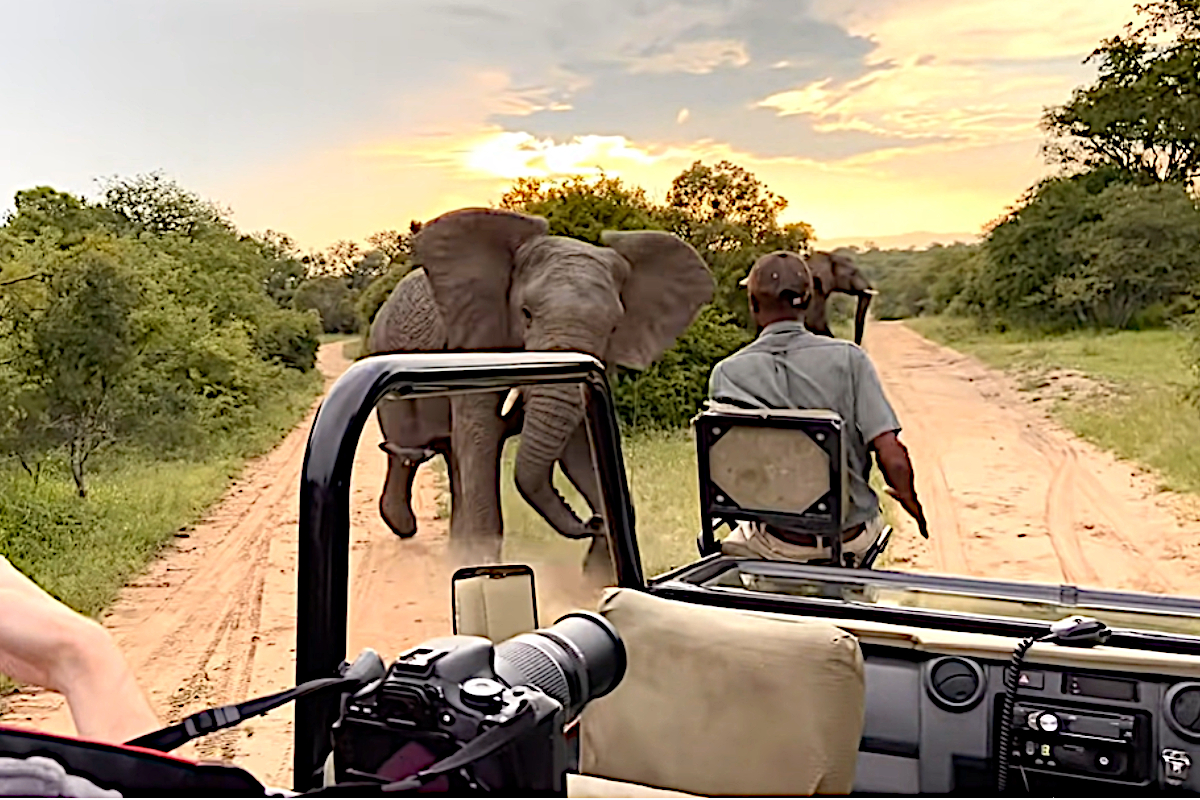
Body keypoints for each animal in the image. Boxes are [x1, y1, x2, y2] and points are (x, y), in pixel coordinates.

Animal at [367, 209, 710, 566]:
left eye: (614, 327)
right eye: (526, 314)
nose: (593, 520)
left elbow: (582, 448)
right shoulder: (475, 347)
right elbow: (481, 438)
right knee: (407, 449)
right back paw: (406, 526)